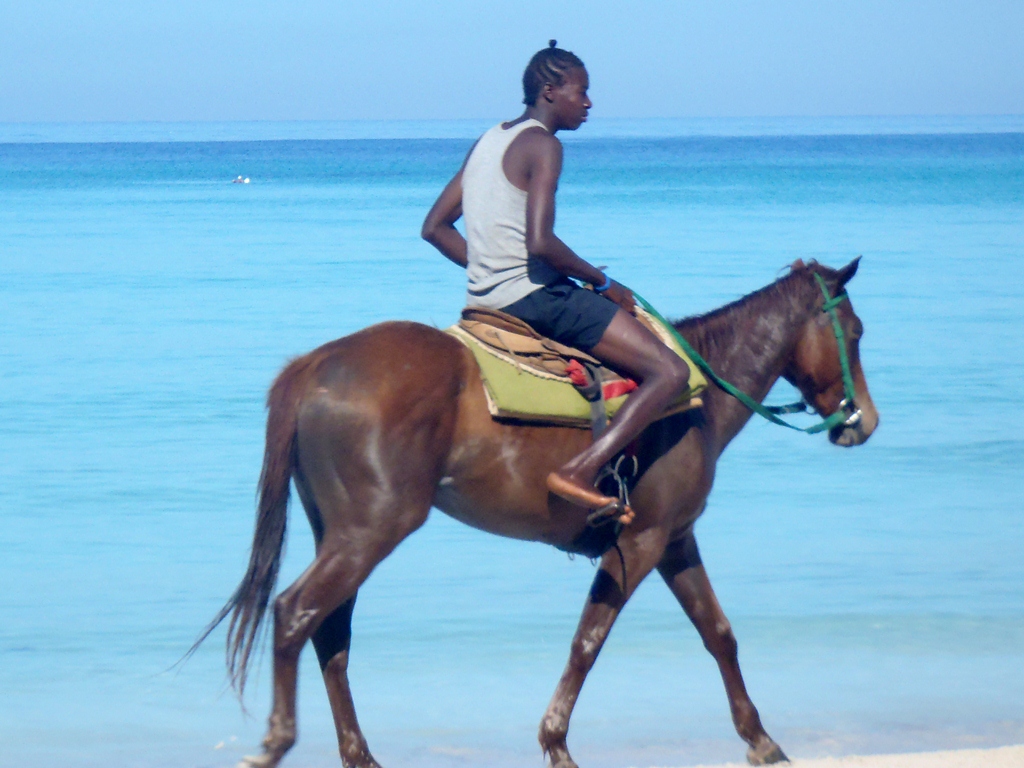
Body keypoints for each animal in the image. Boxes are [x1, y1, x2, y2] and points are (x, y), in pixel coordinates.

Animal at [197, 259, 880, 768]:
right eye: (854, 332)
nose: (864, 422)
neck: (697, 397)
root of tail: (315, 366)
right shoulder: (641, 542)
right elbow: (588, 641)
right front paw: (556, 745)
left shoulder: (675, 539)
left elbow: (718, 633)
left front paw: (761, 741)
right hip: (371, 530)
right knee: (296, 613)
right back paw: (277, 741)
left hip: (341, 532)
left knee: (329, 633)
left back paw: (358, 755)